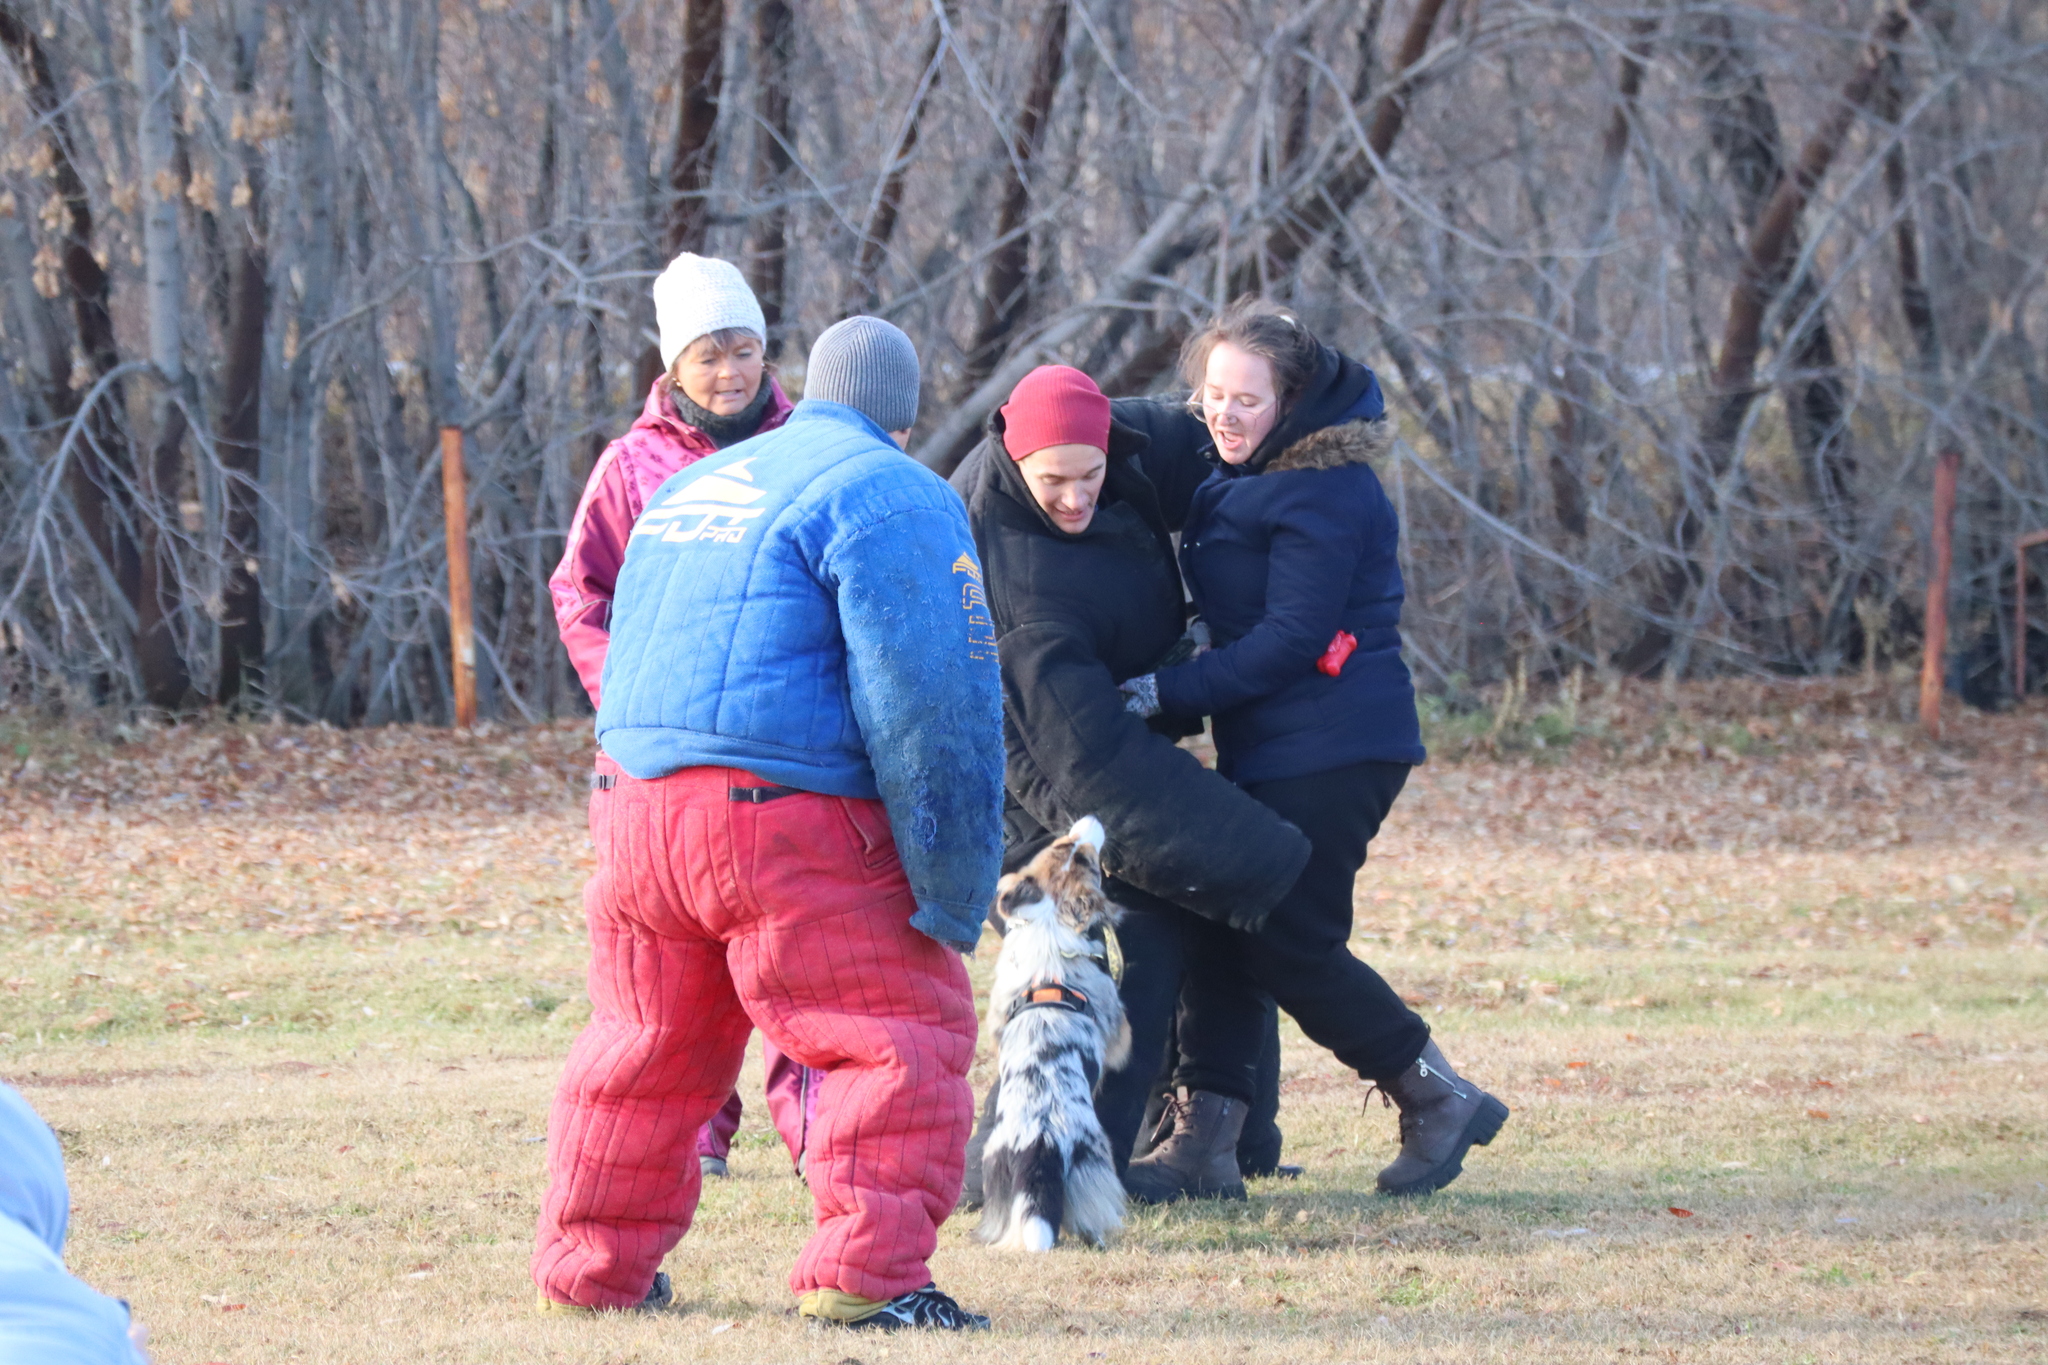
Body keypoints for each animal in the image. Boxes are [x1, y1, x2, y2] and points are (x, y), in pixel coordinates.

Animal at [974, 818, 1138, 1252]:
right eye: (1086, 859)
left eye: (1063, 846)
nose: (1090, 820)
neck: (1051, 922)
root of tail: (1038, 1145)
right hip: (1092, 1164)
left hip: (998, 1176)